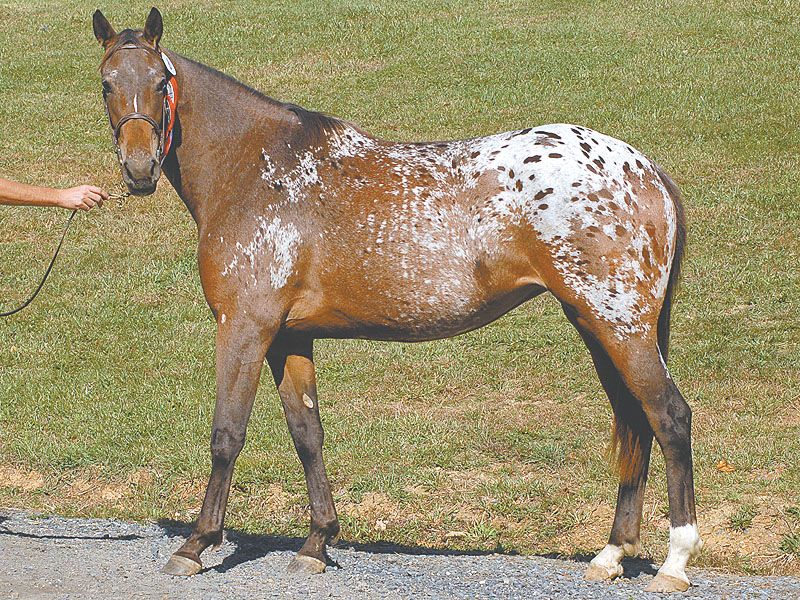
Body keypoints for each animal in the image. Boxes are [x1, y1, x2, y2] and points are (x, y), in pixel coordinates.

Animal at [94, 7, 704, 592]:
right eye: (106, 83)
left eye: (158, 82)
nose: (140, 169)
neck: (256, 169)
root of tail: (645, 169)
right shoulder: (289, 337)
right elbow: (307, 435)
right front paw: (317, 543)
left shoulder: (244, 327)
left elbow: (226, 434)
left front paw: (195, 545)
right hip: (596, 324)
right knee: (636, 420)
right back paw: (611, 554)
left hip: (619, 325)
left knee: (669, 417)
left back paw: (674, 563)